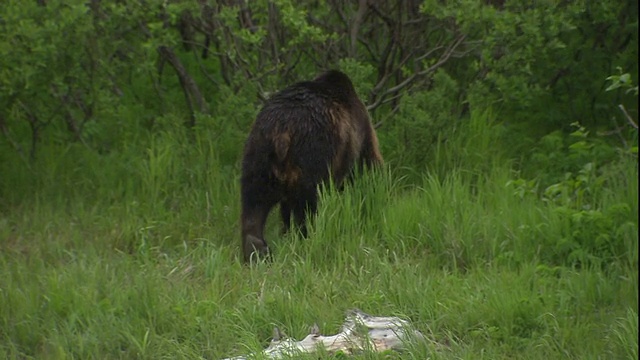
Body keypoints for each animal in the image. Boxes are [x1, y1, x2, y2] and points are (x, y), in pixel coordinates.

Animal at [239, 69, 380, 262]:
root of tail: (282, 133)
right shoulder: (357, 139)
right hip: (312, 155)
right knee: (307, 204)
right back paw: (306, 238)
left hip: (258, 155)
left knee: (253, 203)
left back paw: (258, 250)